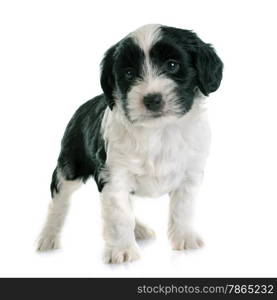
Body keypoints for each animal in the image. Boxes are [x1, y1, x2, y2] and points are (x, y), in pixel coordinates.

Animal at [36, 24, 222, 264]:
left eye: (172, 65)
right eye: (129, 73)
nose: (152, 99)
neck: (159, 131)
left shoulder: (190, 172)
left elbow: (183, 207)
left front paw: (185, 237)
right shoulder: (114, 174)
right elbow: (119, 214)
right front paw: (122, 249)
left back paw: (139, 229)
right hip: (69, 165)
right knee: (59, 199)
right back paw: (48, 236)